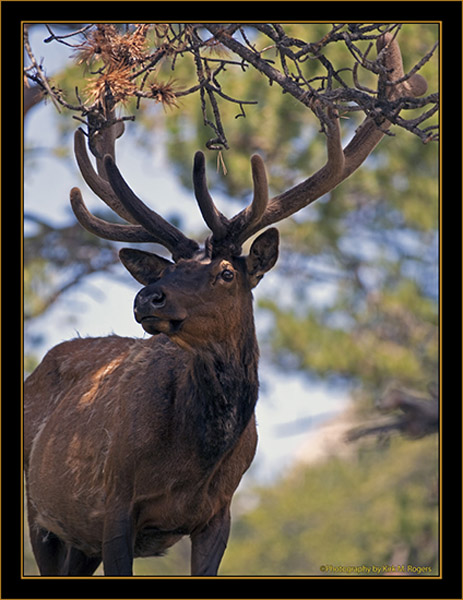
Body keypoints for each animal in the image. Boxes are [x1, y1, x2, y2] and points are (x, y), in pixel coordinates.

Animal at [21, 34, 428, 576]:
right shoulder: (114, 504)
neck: (193, 462)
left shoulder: (219, 515)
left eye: (227, 272)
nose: (146, 297)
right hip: (42, 515)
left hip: (75, 541)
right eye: (167, 269)